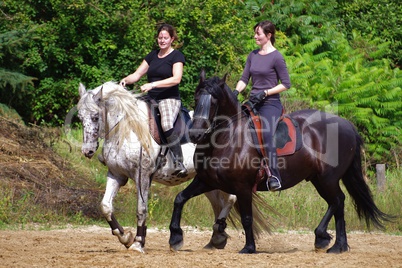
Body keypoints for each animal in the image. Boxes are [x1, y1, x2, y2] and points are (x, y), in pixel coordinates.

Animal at [168, 70, 392, 253]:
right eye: (197, 98)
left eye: (214, 101)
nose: (195, 134)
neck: (228, 138)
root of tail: (346, 124)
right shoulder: (206, 181)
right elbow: (179, 199)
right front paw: (175, 238)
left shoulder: (242, 187)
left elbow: (247, 218)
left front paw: (249, 248)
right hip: (318, 179)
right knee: (337, 203)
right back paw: (335, 244)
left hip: (327, 178)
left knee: (337, 201)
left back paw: (331, 242)